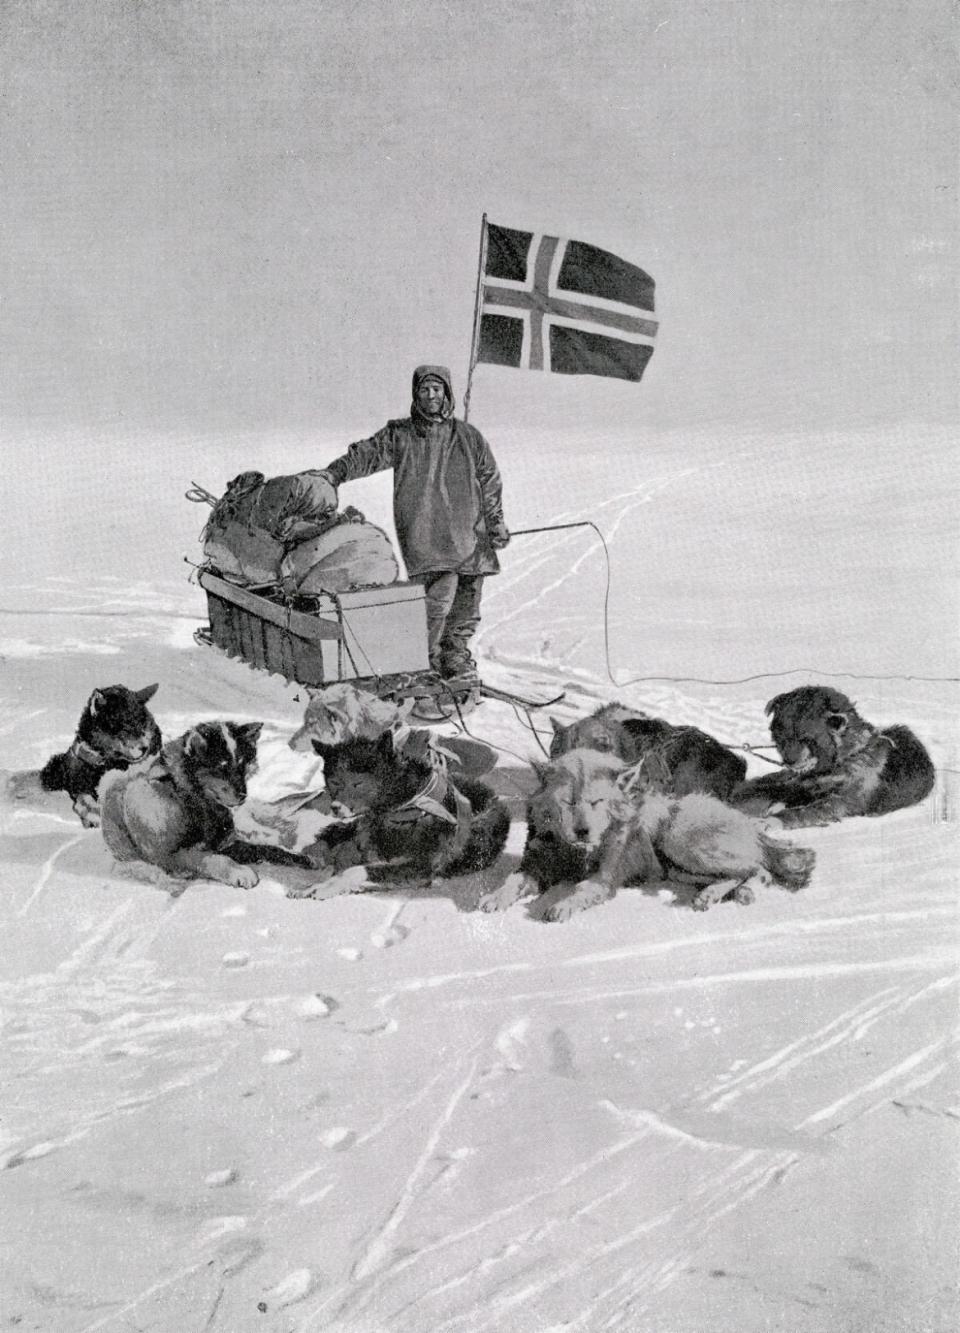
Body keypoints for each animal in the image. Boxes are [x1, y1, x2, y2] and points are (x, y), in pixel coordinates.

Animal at [39, 687, 162, 821]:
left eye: (142, 725)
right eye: (124, 727)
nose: (145, 748)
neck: (102, 763)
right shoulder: (78, 783)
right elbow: (84, 797)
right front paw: (91, 812)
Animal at [100, 719, 313, 885]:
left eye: (243, 764)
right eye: (221, 767)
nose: (243, 795)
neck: (188, 798)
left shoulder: (226, 843)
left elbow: (264, 848)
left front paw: (299, 858)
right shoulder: (173, 856)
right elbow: (211, 858)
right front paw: (240, 872)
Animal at [477, 746, 816, 922]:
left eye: (596, 802)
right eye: (569, 802)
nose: (583, 831)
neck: (577, 851)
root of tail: (746, 821)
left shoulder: (603, 879)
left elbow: (581, 890)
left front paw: (562, 906)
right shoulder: (537, 866)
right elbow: (512, 881)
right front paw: (493, 897)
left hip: (679, 839)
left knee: (758, 869)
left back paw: (738, 891)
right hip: (677, 868)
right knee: (738, 873)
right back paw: (711, 895)